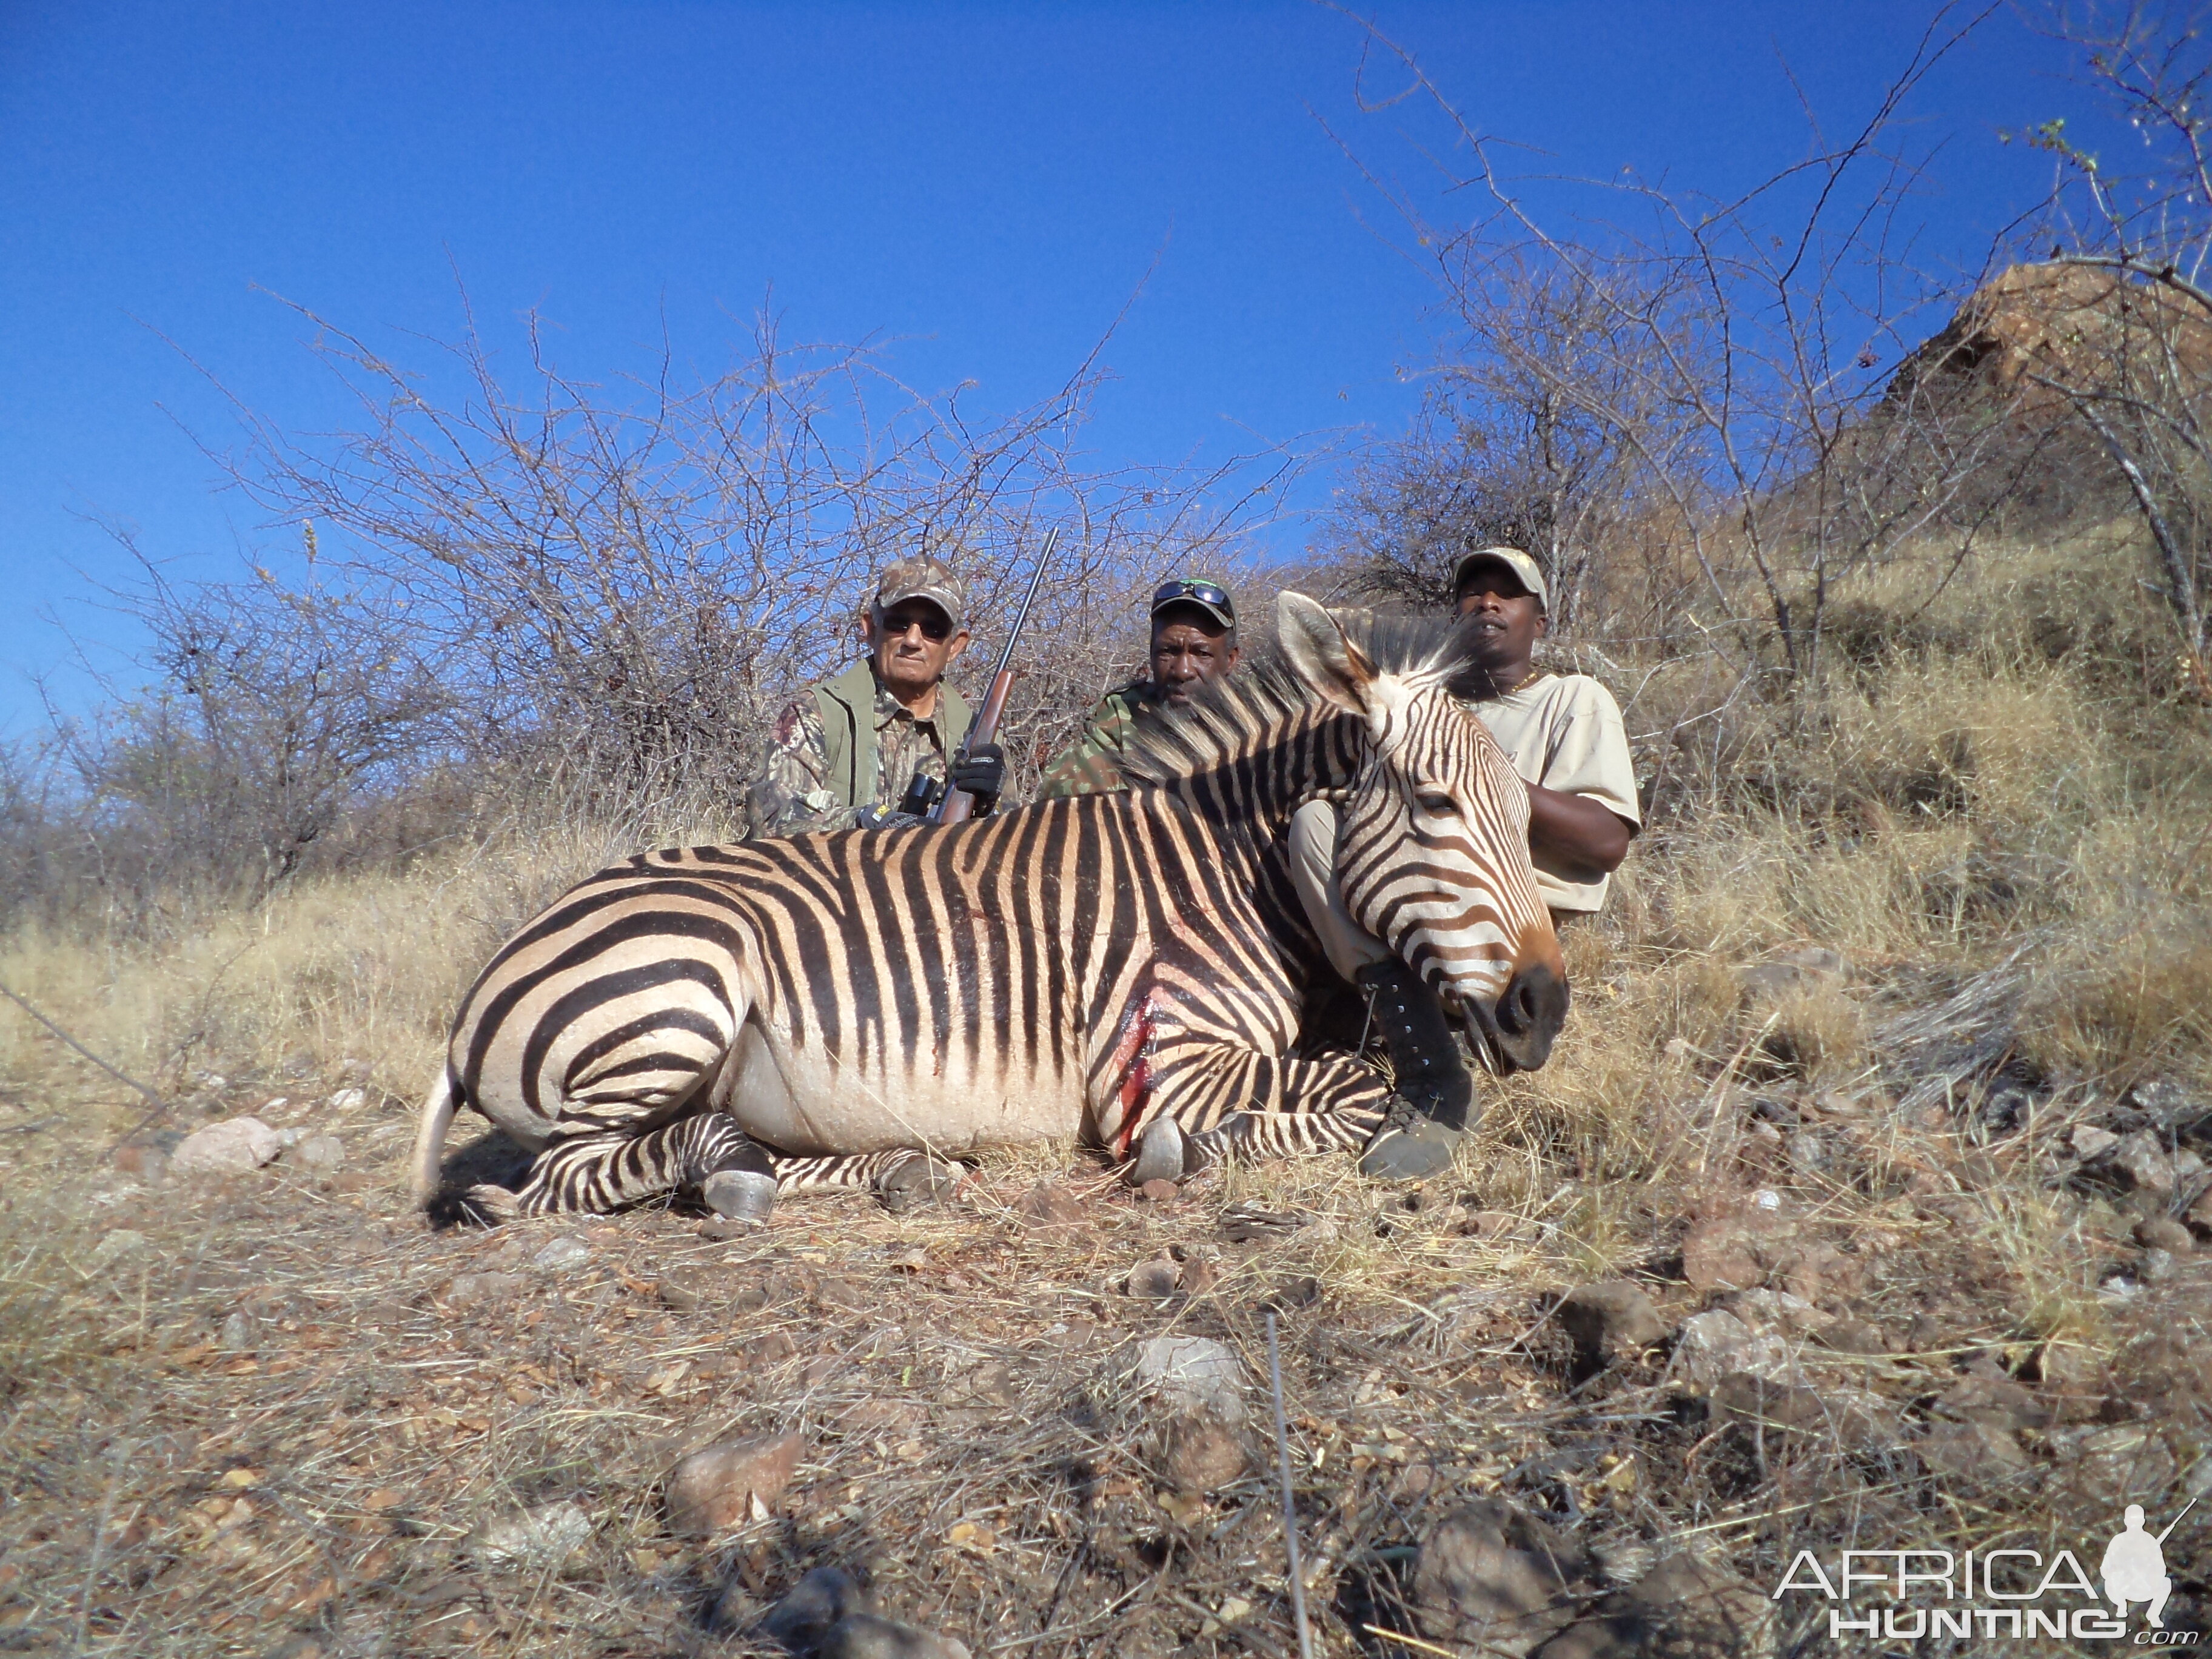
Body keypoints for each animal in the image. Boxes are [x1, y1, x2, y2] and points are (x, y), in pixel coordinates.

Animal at [411, 597, 1557, 1221]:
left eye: (1525, 815)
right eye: (1437, 804)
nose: (1541, 1009)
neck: (1219, 867)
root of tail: (484, 985)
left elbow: (1355, 1080)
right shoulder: (1162, 1063)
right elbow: (1356, 1088)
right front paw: (1197, 1149)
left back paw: (891, 1172)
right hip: (682, 995)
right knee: (561, 1180)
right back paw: (737, 1174)